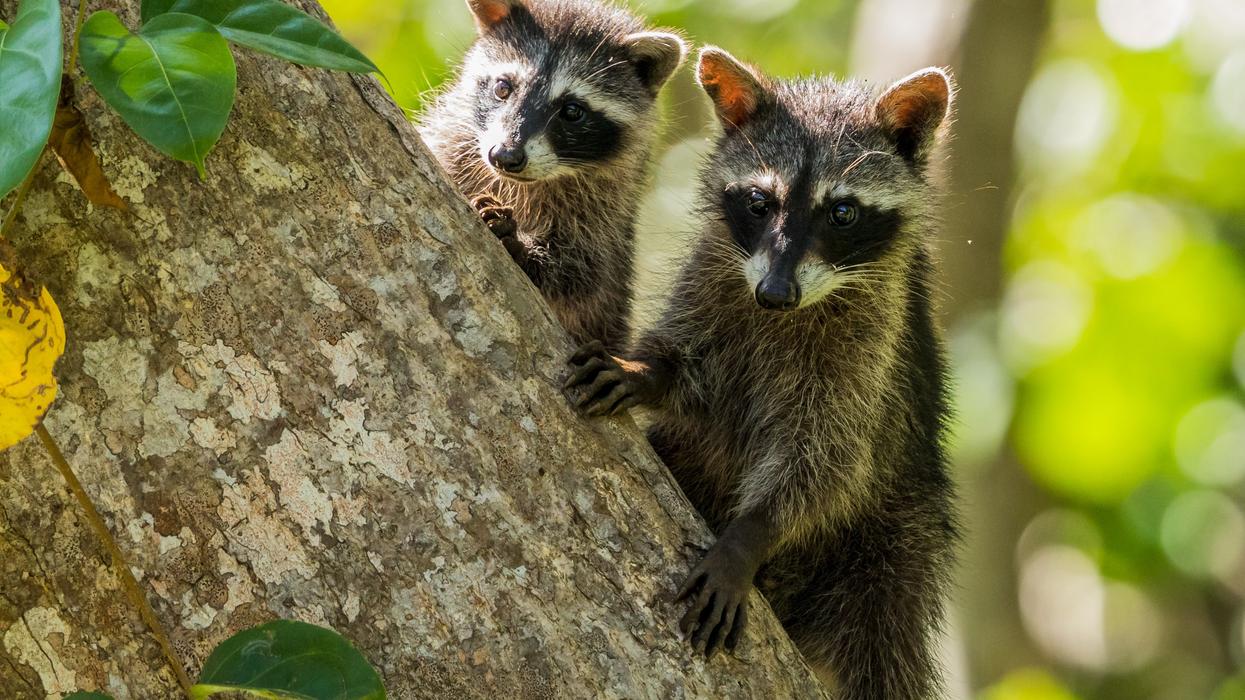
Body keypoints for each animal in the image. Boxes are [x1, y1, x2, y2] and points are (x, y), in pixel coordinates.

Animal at [419, 0, 686, 352]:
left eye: (572, 111)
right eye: (503, 88)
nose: (505, 157)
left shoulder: (605, 212)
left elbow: (583, 274)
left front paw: (522, 246)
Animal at [565, 47, 959, 699]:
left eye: (842, 211)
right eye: (758, 202)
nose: (774, 295)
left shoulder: (871, 348)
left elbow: (827, 457)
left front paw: (751, 533)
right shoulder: (714, 275)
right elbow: (689, 362)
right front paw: (645, 369)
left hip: (899, 539)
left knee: (883, 641)